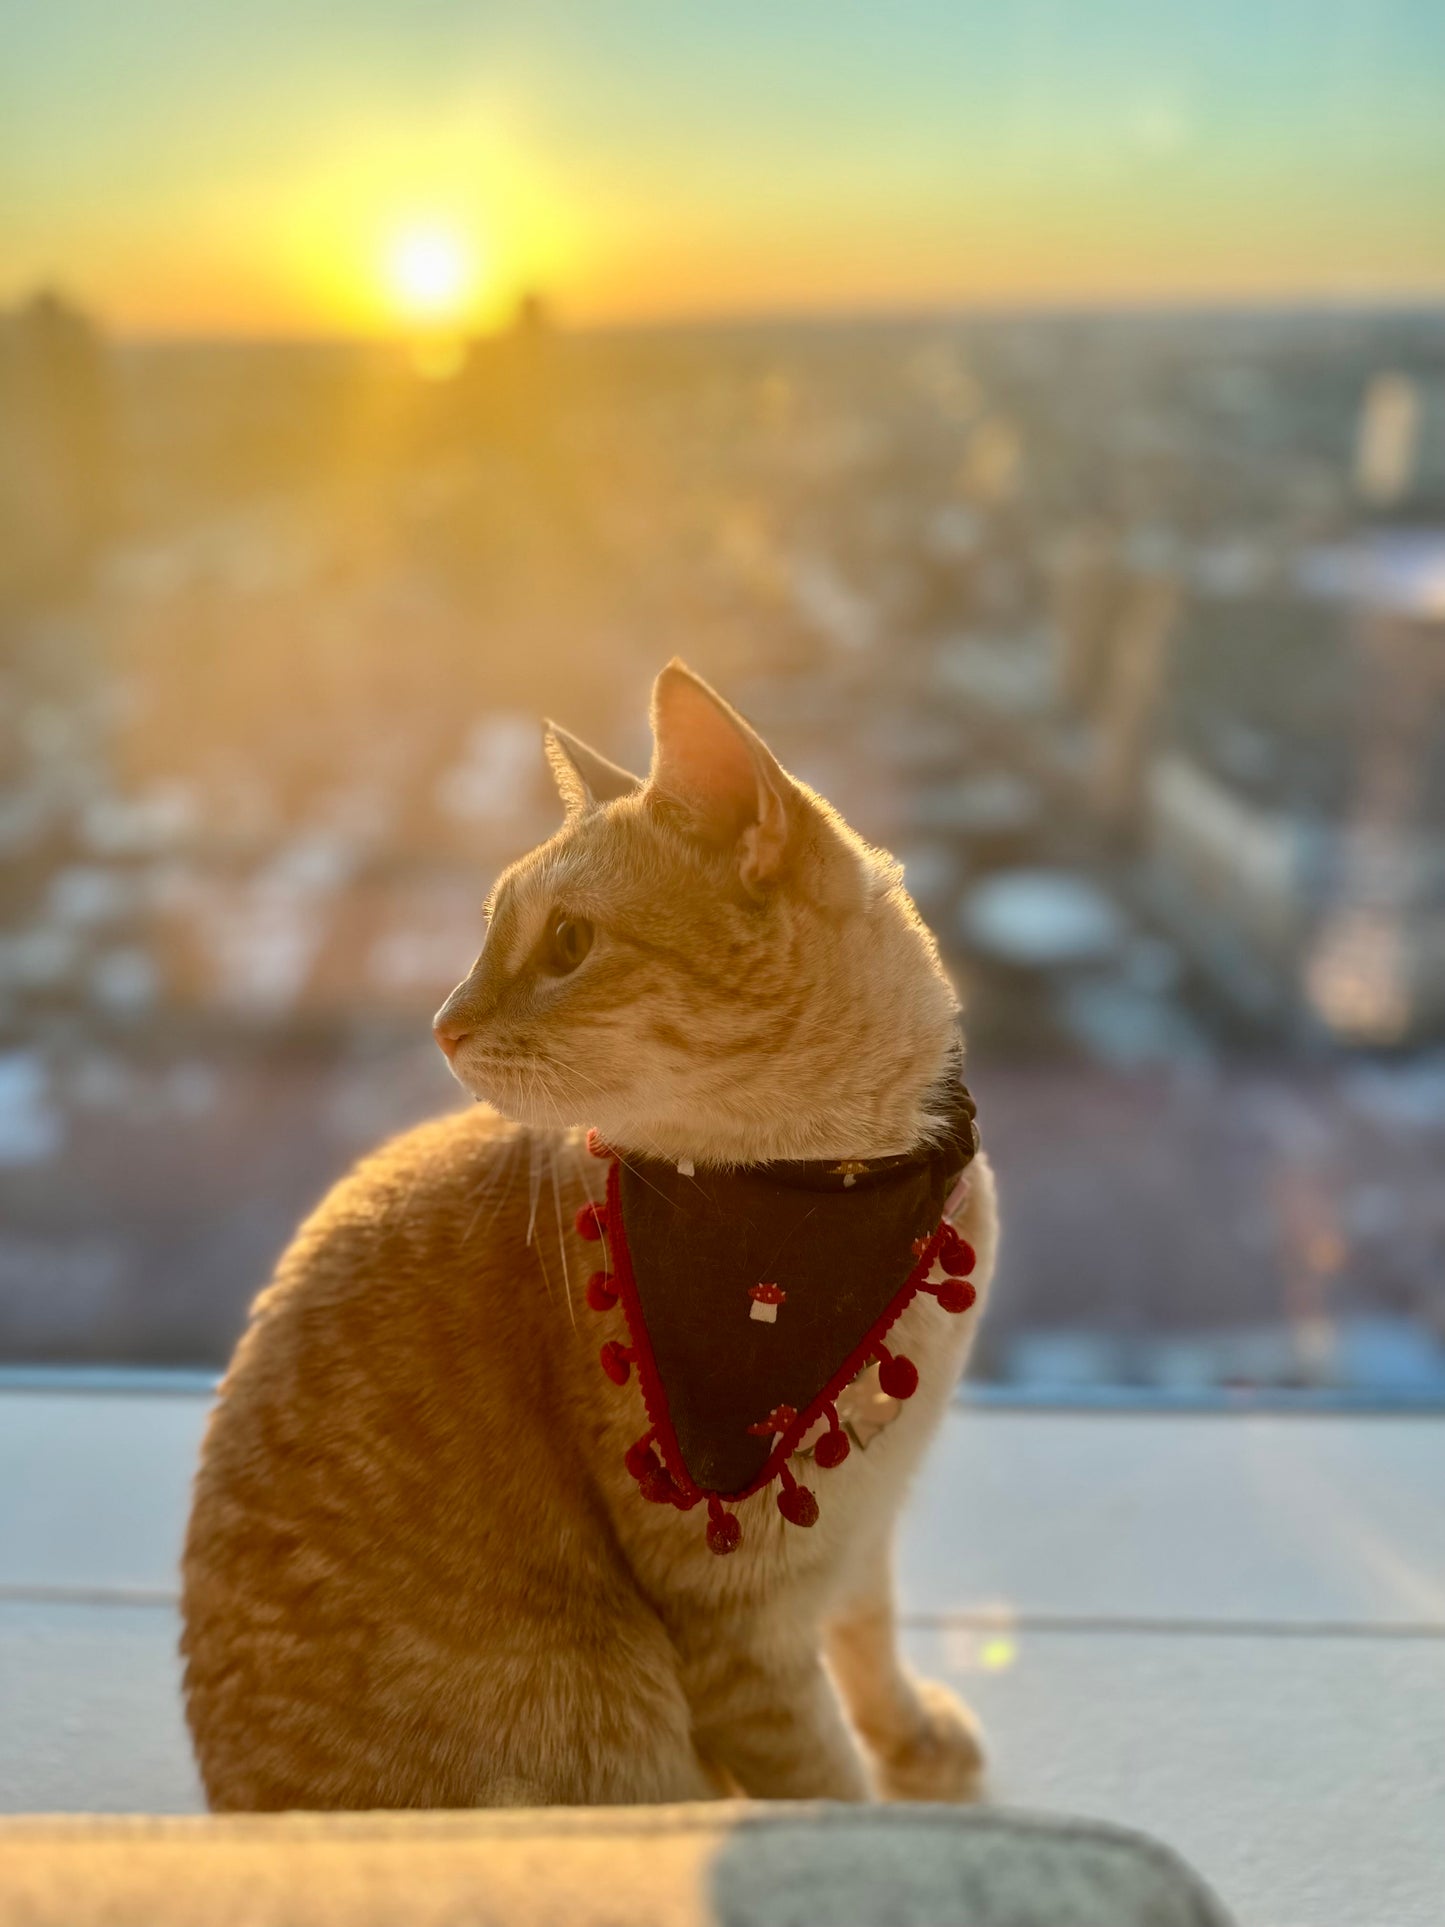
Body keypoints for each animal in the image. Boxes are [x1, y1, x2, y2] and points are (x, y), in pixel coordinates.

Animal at [181, 659, 1001, 1803]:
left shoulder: (864, 1526)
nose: (440, 1022)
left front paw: (914, 1740)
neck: (828, 1194)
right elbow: (823, 1787)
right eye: (490, 929)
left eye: (567, 943)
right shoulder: (739, 1637)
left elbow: (868, 1638)